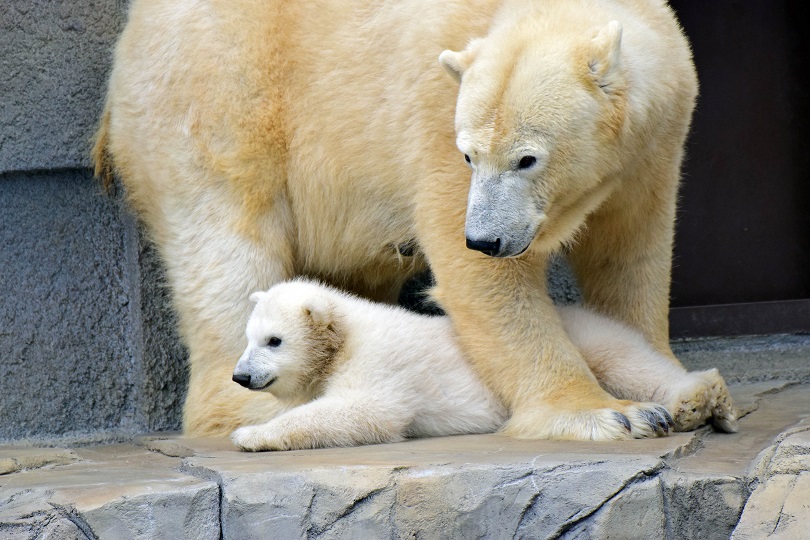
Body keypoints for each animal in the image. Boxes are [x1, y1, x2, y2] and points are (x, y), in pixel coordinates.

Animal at [94, 0, 732, 438]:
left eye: (528, 158)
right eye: (470, 154)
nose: (486, 238)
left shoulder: (654, 145)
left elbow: (629, 252)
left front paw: (681, 391)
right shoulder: (435, 114)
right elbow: (480, 278)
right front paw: (606, 413)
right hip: (217, 90)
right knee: (225, 248)